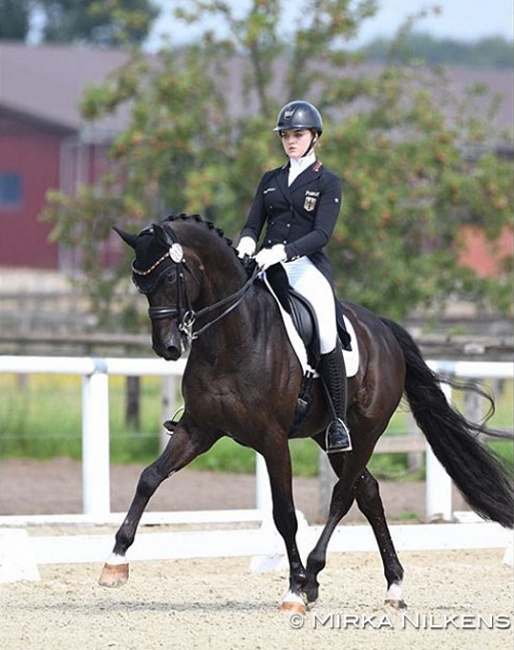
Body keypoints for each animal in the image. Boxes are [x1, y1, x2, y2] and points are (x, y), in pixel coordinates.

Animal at [98, 214, 510, 612]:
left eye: (169, 276)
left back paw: (312, 576)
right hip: (329, 437)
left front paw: (294, 588)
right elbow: (150, 477)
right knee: (369, 493)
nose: (167, 347)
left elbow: (285, 514)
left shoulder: (272, 440)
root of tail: (383, 329)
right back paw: (391, 585)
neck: (234, 336)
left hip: (366, 433)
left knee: (343, 496)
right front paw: (115, 561)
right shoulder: (198, 429)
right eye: (139, 283)